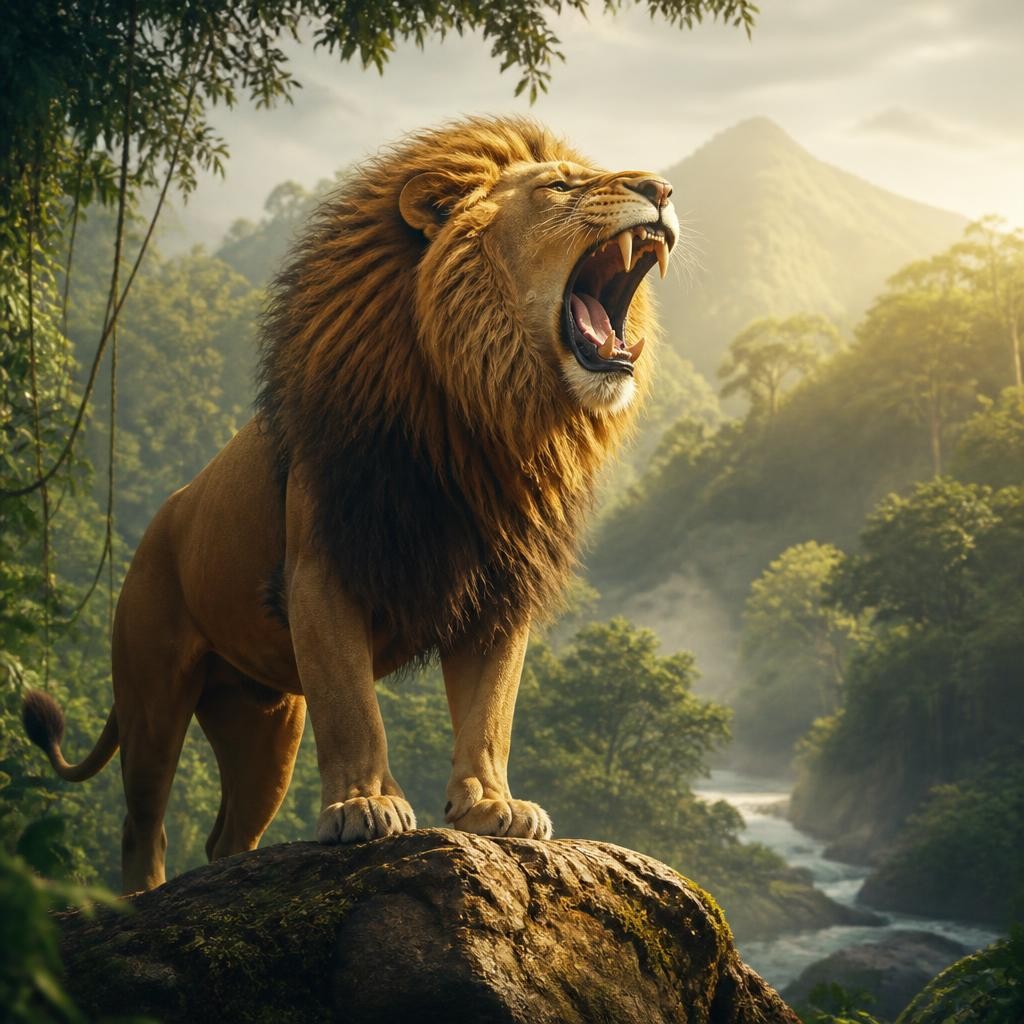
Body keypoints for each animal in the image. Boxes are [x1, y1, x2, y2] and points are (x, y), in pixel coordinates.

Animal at [23, 116, 678, 893]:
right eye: (559, 186)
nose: (662, 188)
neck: (479, 415)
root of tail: (156, 528)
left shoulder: (497, 590)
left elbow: (490, 713)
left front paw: (492, 807)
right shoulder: (321, 572)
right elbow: (352, 708)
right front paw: (366, 806)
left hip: (263, 721)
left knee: (226, 837)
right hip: (153, 695)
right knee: (141, 823)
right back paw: (144, 898)